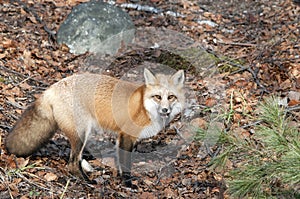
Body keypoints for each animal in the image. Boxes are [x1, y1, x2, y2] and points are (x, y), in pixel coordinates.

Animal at [5, 68, 185, 187]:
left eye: (171, 97)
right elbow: (126, 164)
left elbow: (120, 161)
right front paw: (128, 184)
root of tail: (50, 89)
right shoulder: (126, 135)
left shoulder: (122, 137)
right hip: (82, 134)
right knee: (72, 163)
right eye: (157, 97)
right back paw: (88, 181)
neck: (144, 107)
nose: (165, 110)